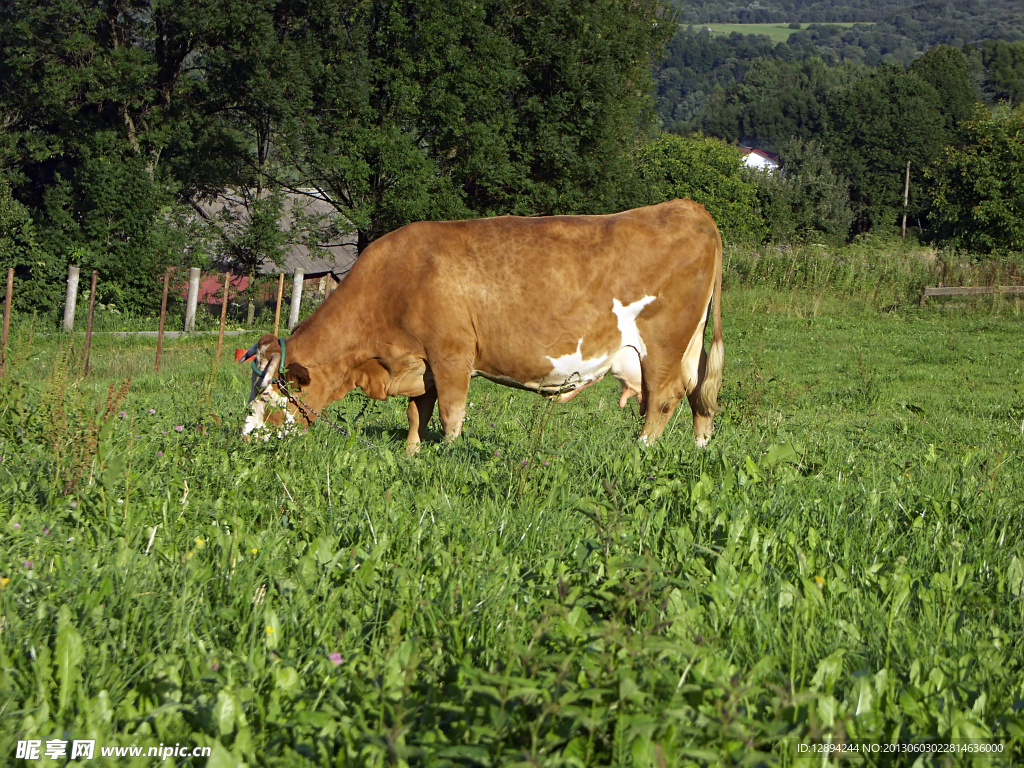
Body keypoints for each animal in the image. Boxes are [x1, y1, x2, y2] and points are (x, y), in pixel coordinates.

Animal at [241, 199, 720, 450]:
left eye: (266, 396)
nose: (244, 439)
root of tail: (686, 207)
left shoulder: (451, 355)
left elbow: (451, 414)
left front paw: (447, 456)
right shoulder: (422, 363)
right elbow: (417, 412)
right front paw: (412, 453)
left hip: (663, 343)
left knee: (664, 399)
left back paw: (642, 451)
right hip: (688, 348)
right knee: (699, 396)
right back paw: (698, 451)